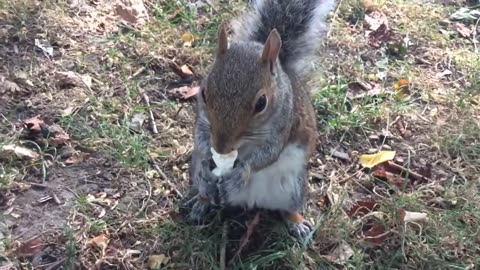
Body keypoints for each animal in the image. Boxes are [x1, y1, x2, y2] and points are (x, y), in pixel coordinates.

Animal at [186, 0, 336, 243]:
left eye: (261, 103)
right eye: (204, 93)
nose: (220, 147)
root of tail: (248, 201)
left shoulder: (284, 125)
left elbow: (267, 155)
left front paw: (242, 172)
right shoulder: (202, 121)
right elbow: (200, 139)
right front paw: (210, 160)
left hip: (293, 189)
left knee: (288, 209)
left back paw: (297, 223)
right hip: (197, 174)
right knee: (204, 188)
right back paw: (202, 202)